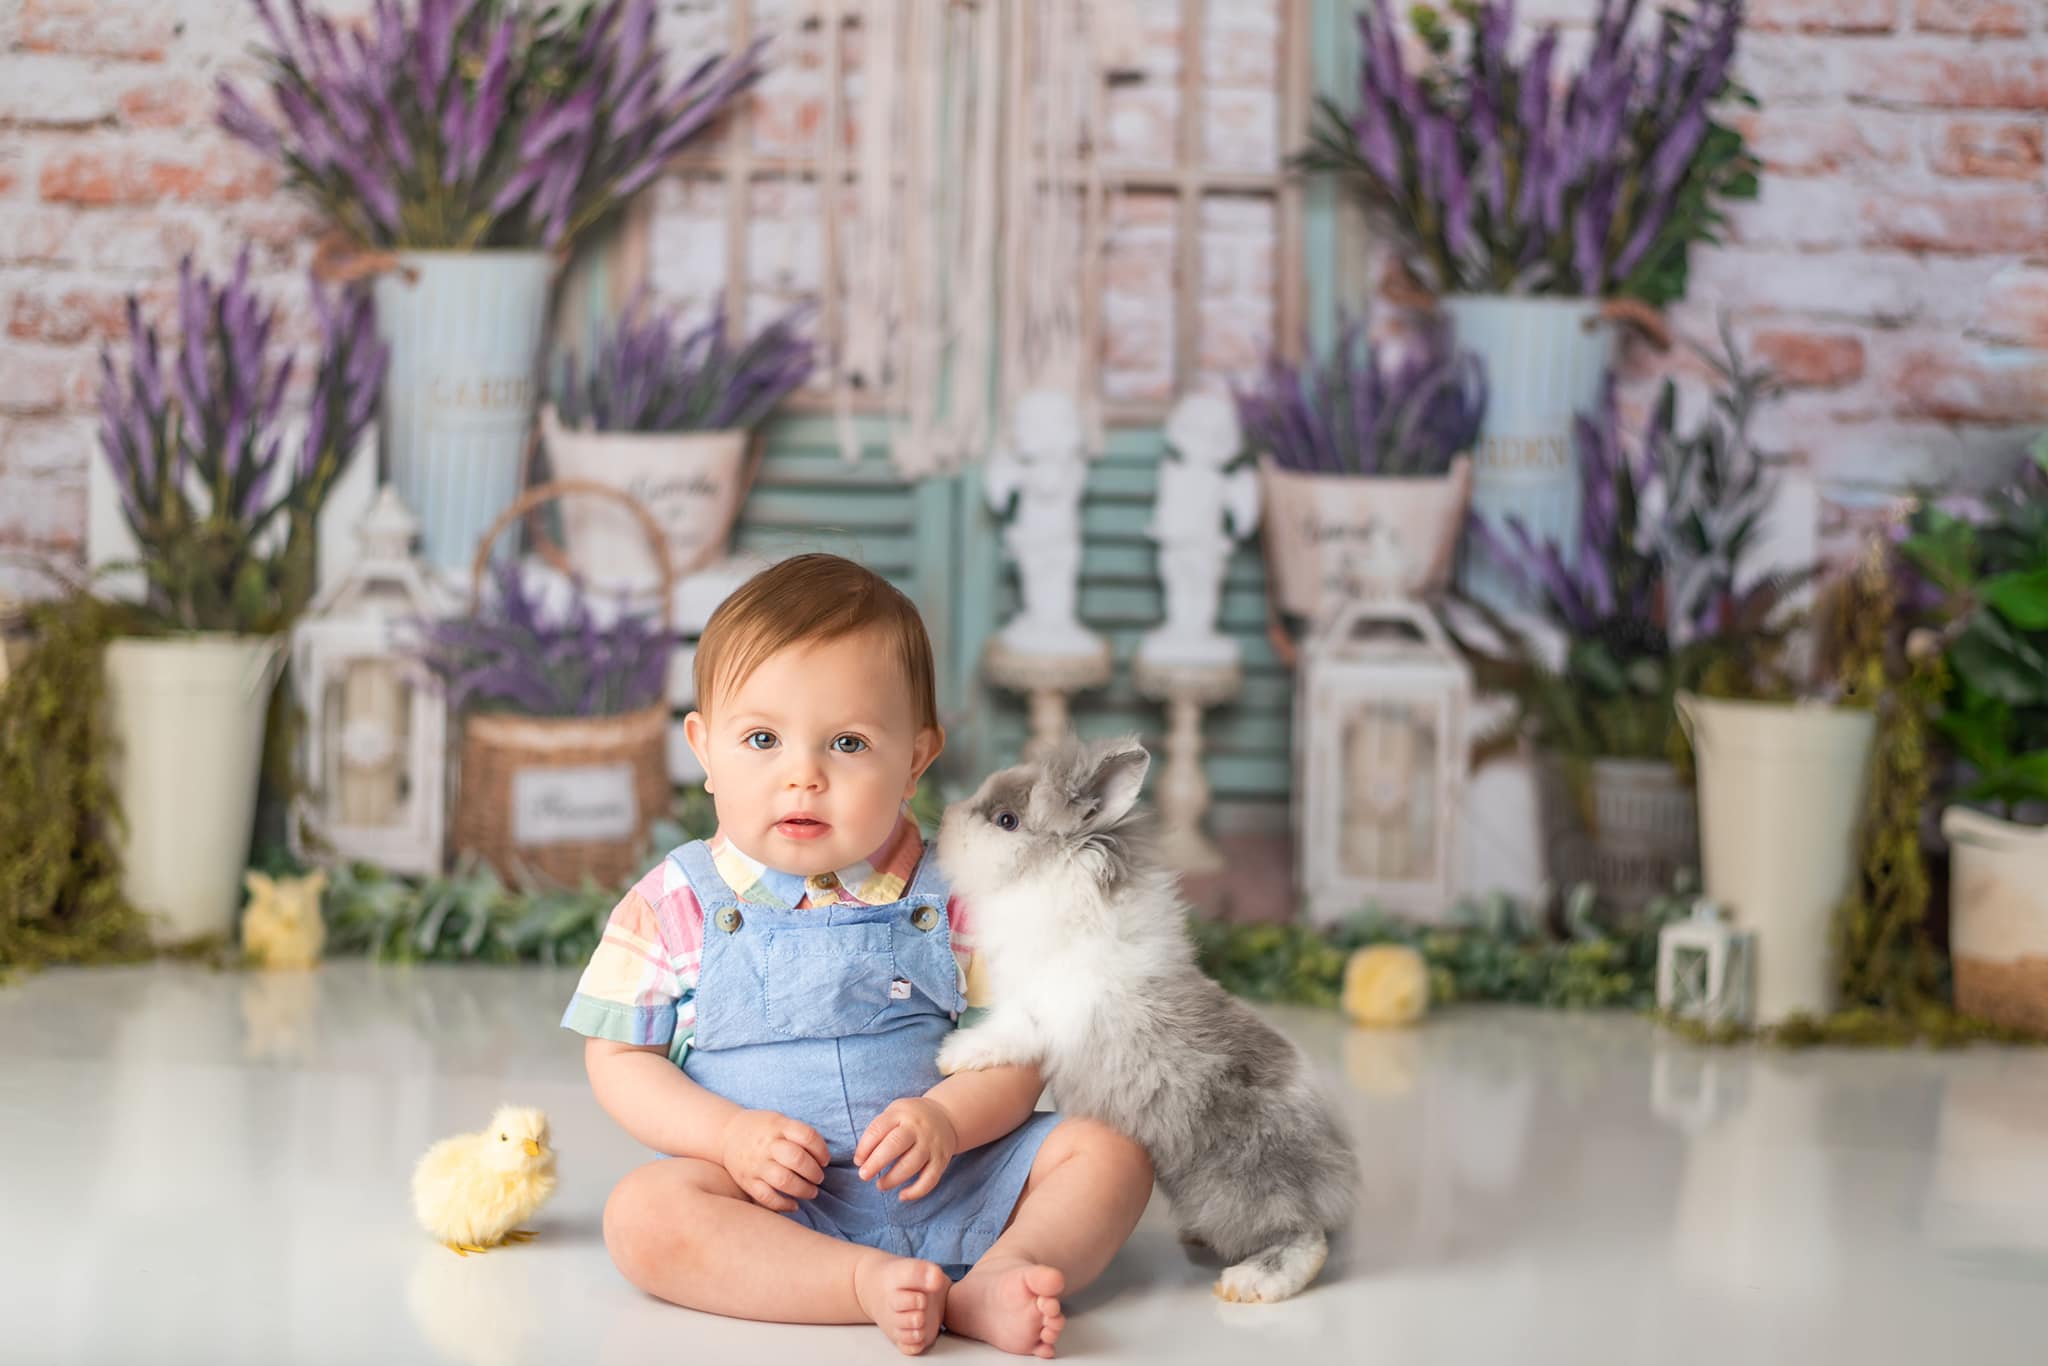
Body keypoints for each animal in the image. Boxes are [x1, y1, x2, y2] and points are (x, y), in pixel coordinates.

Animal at [937, 737, 1359, 1302]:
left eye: (1007, 820)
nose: (945, 817)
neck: (1050, 880)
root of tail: (1334, 1180)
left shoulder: (1032, 1016)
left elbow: (1001, 1036)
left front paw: (953, 1057)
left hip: (1239, 1191)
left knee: (1302, 1240)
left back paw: (1247, 1283)